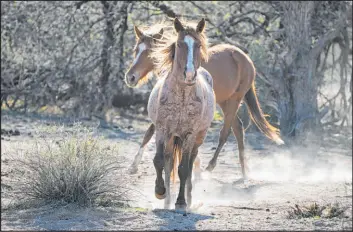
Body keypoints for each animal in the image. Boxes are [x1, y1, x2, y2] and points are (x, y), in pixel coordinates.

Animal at [125, 19, 282, 179]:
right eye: (136, 50)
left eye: (150, 51)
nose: (130, 77)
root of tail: (247, 59)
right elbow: (149, 133)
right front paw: (133, 166)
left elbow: (153, 132)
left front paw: (197, 166)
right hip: (225, 102)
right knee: (238, 128)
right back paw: (244, 171)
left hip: (234, 100)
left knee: (225, 132)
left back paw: (211, 167)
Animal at [146, 18, 214, 210]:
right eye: (179, 44)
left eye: (198, 45)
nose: (190, 75)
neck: (182, 96)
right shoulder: (162, 130)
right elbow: (159, 161)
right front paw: (160, 192)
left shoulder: (190, 134)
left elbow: (184, 169)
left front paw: (181, 202)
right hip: (171, 138)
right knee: (169, 162)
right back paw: (167, 200)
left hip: (197, 138)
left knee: (190, 163)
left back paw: (188, 200)